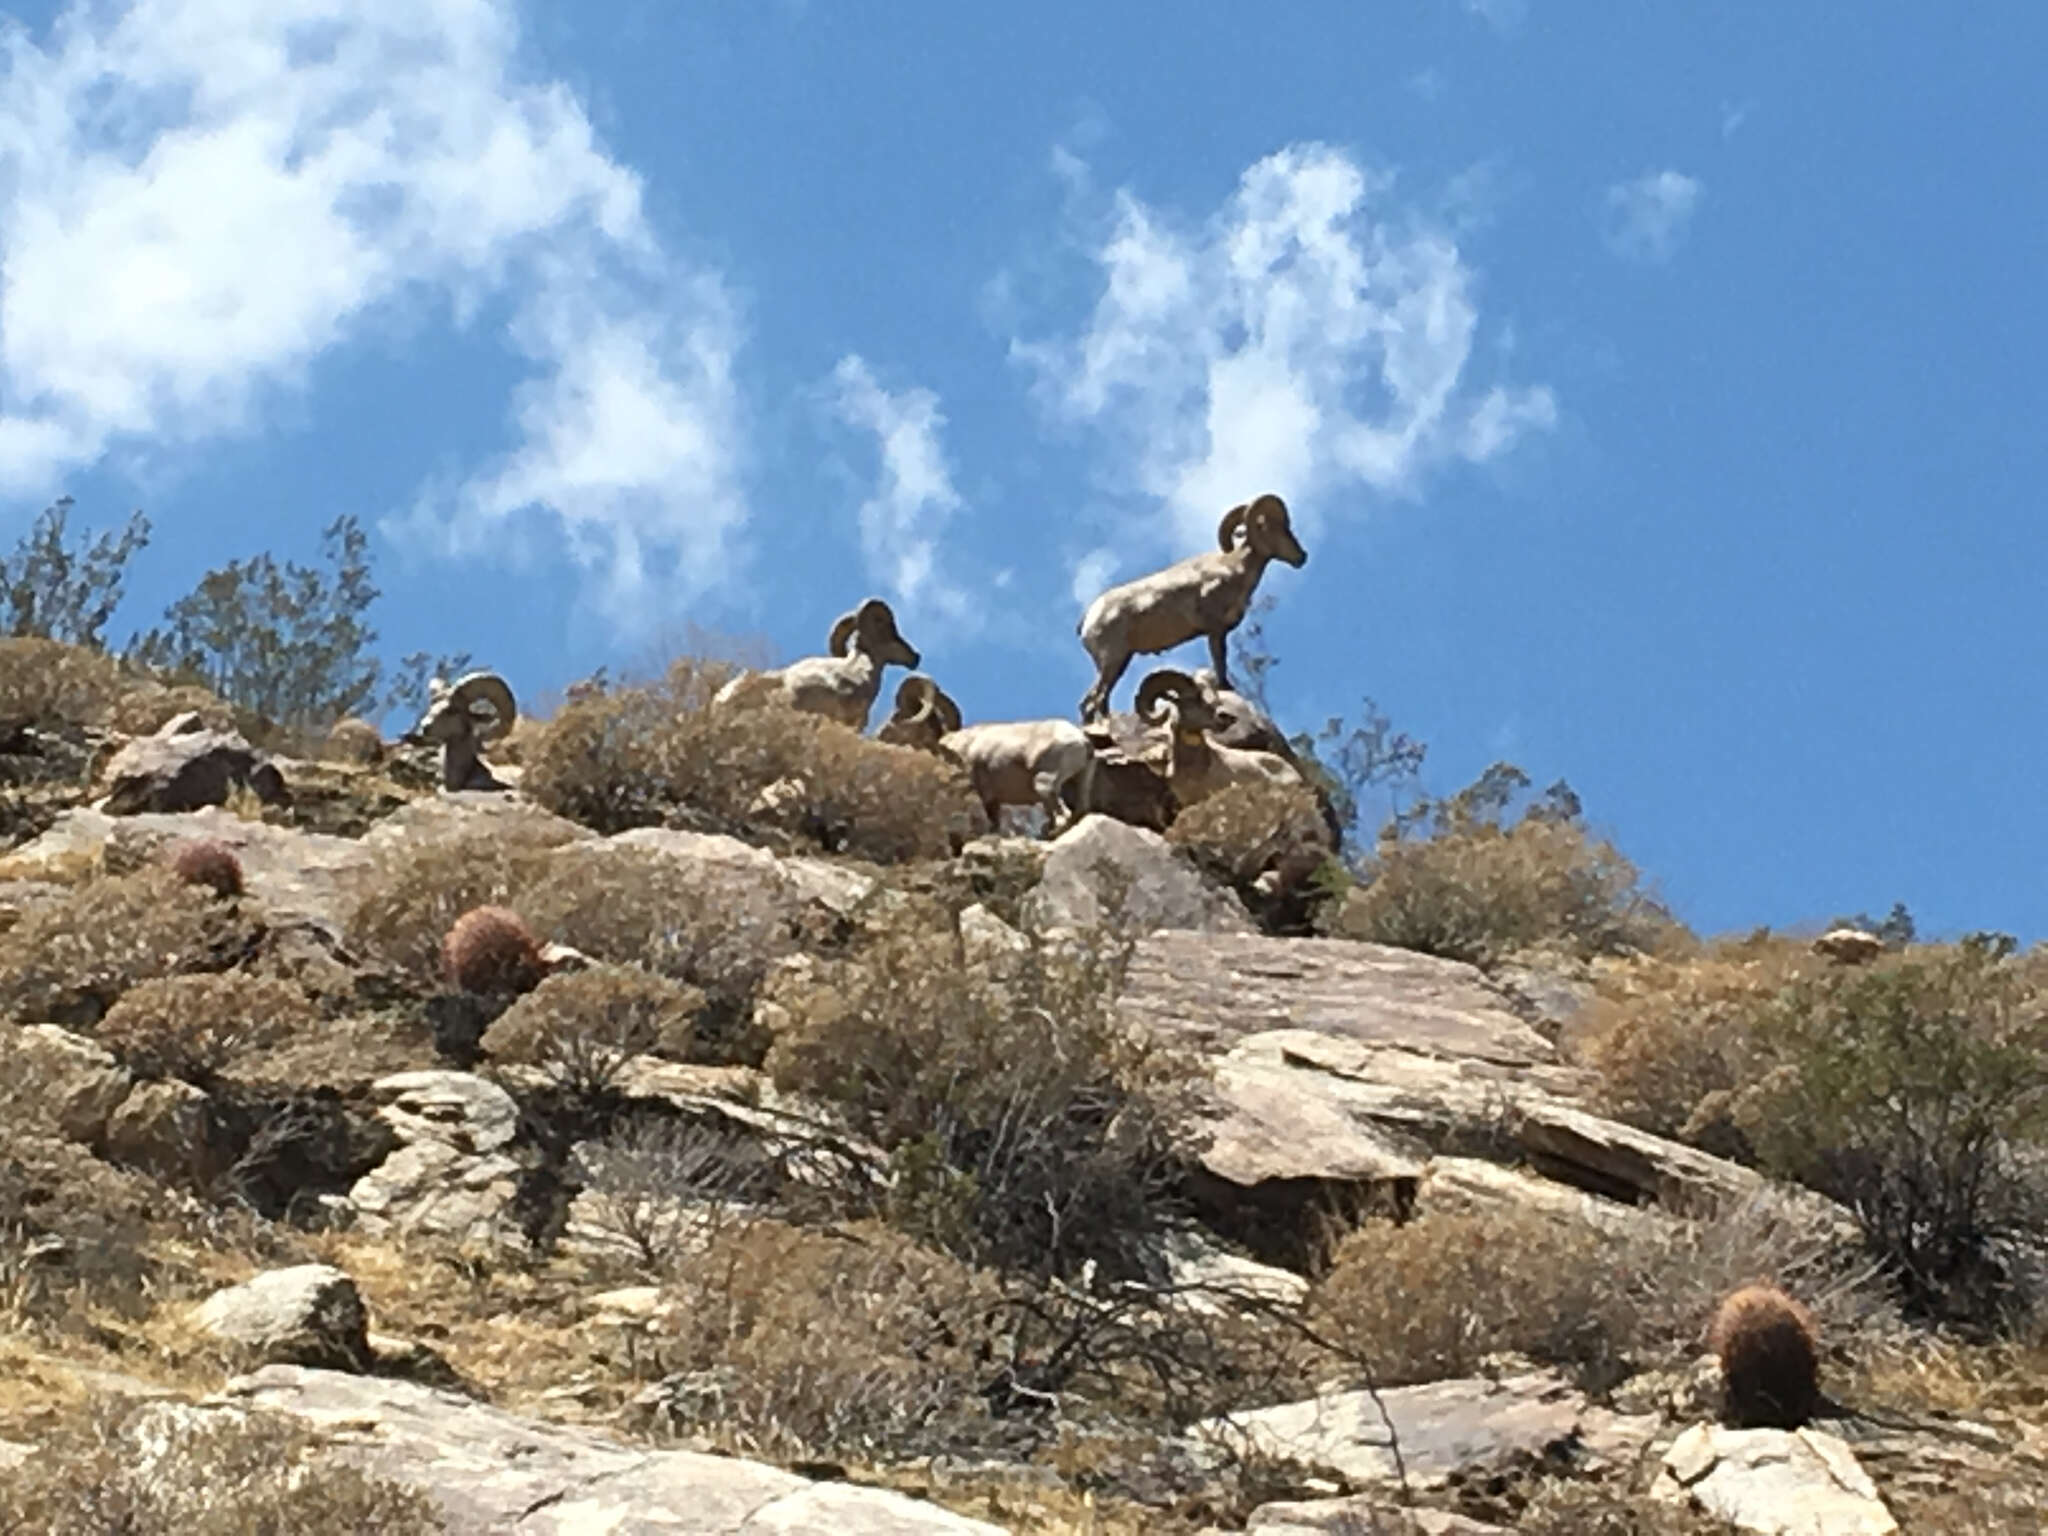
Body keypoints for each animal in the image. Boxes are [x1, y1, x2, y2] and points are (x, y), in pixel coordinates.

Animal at [880, 675, 1105, 843]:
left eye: (897, 716)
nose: (879, 735)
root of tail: (1083, 741)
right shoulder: (994, 801)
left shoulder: (981, 795)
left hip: (1044, 785)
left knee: (1061, 818)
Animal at [1081, 499, 1302, 729]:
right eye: (1274, 529)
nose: (1301, 557)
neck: (1232, 571)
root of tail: (1088, 620)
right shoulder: (1215, 631)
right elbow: (1220, 661)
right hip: (1112, 661)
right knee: (1093, 701)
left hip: (1119, 662)